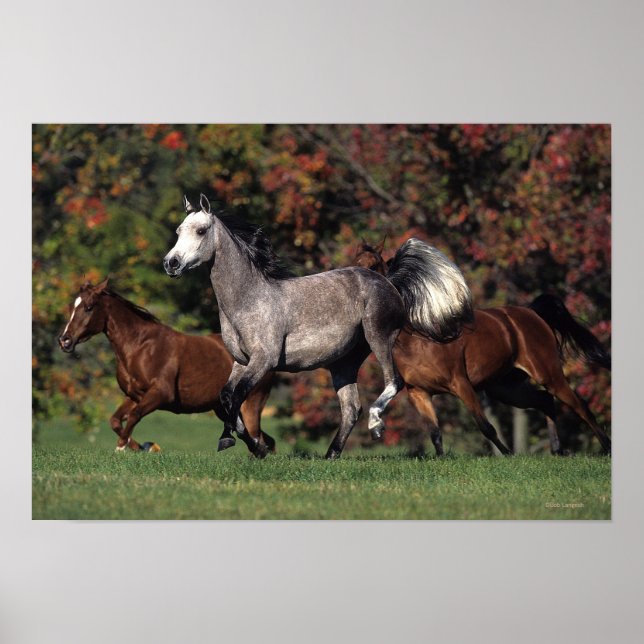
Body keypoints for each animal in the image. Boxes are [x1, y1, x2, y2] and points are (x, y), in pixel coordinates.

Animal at [58, 279, 275, 457]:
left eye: (89, 307)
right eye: (72, 306)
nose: (64, 340)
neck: (140, 347)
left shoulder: (161, 393)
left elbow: (134, 416)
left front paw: (125, 447)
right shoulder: (135, 395)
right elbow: (115, 420)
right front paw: (139, 447)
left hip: (250, 405)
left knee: (256, 438)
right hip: (223, 409)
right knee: (261, 439)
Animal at [163, 194, 474, 459]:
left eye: (201, 230)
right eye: (178, 231)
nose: (171, 263)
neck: (249, 299)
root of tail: (390, 282)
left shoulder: (264, 361)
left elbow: (236, 397)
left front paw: (235, 441)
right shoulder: (241, 361)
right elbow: (226, 397)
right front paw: (254, 446)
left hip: (379, 338)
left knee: (392, 382)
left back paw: (375, 426)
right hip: (344, 362)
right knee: (350, 408)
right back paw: (330, 455)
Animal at [353, 241, 612, 456]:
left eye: (374, 265)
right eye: (353, 264)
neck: (418, 337)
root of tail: (532, 313)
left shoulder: (461, 384)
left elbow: (486, 427)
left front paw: (508, 455)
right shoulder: (419, 393)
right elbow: (435, 433)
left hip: (548, 375)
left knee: (580, 406)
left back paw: (606, 447)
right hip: (506, 388)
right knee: (545, 401)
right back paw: (557, 450)